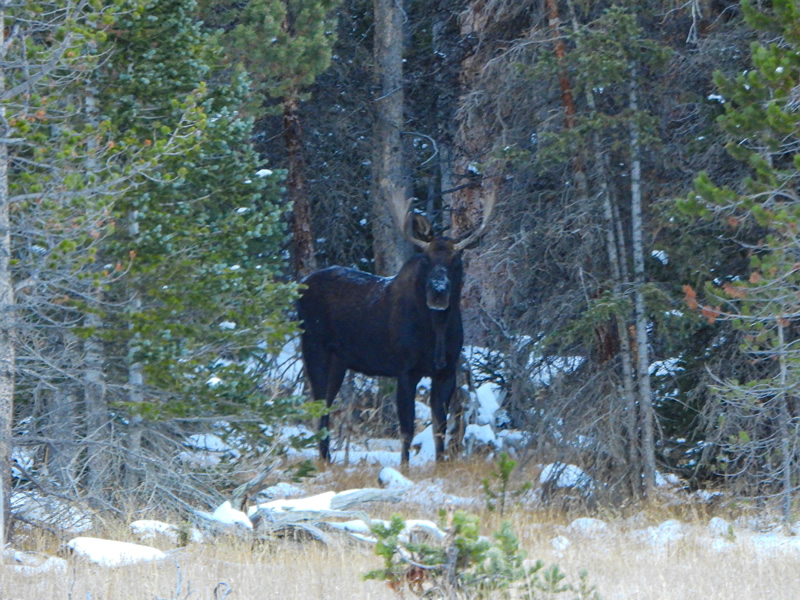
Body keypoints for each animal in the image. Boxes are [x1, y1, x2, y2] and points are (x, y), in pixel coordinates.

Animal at [296, 187, 495, 465]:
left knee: (325, 405)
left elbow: (440, 428)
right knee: (318, 407)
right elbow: (407, 429)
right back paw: (324, 460)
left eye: (457, 260)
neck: (437, 332)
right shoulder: (405, 370)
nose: (438, 292)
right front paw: (404, 467)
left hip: (339, 361)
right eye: (426, 259)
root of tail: (299, 288)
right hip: (314, 348)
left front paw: (440, 464)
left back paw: (328, 459)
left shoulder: (446, 372)